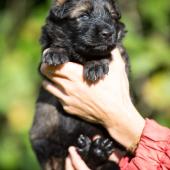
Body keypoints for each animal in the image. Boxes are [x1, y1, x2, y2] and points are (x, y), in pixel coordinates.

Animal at [30, 0, 129, 169]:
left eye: (111, 16)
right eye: (84, 16)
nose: (108, 33)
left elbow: (104, 52)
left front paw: (96, 64)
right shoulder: (43, 66)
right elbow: (56, 43)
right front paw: (56, 51)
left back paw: (96, 150)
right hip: (43, 139)